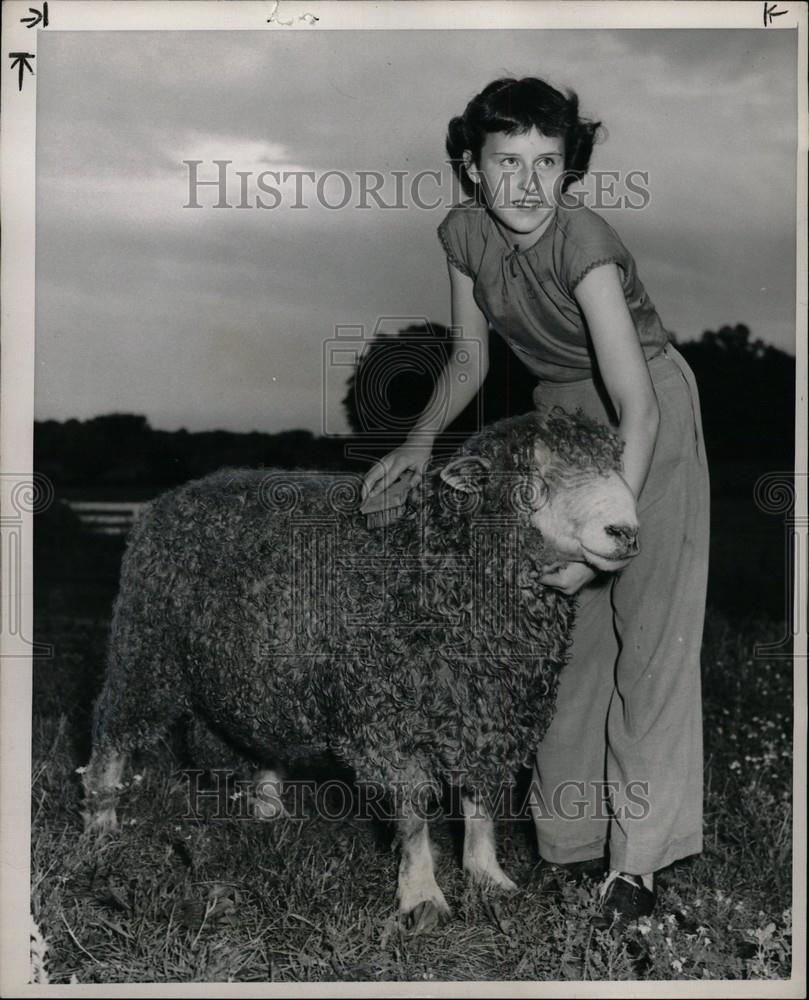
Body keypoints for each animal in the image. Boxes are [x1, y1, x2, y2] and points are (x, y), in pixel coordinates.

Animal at [83, 404, 636, 928]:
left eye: (615, 461)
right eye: (533, 472)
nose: (625, 532)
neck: (431, 564)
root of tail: (171, 498)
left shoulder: (487, 710)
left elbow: (480, 802)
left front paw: (488, 876)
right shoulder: (387, 717)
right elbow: (412, 813)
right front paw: (422, 895)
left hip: (259, 677)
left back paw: (268, 813)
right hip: (145, 652)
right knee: (114, 732)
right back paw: (101, 822)